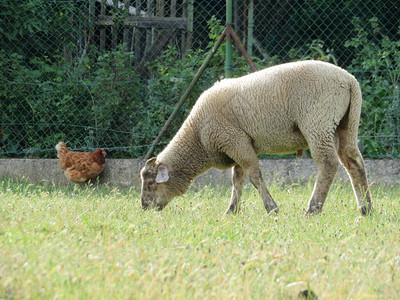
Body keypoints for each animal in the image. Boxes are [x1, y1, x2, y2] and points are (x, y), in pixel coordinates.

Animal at [140, 59, 372, 214]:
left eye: (151, 183)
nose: (143, 207)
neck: (197, 137)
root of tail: (349, 80)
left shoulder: (234, 140)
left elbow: (254, 176)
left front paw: (271, 208)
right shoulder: (237, 145)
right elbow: (237, 179)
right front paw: (231, 211)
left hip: (317, 123)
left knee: (328, 164)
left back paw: (313, 209)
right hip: (345, 125)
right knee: (354, 163)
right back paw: (365, 209)